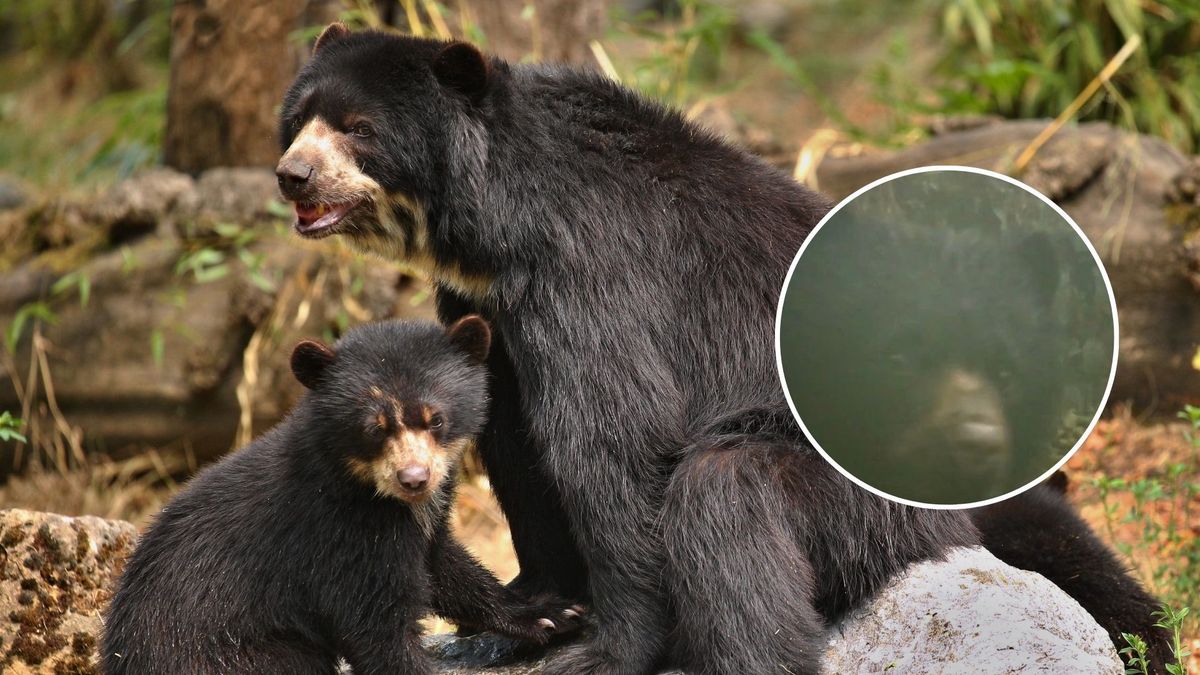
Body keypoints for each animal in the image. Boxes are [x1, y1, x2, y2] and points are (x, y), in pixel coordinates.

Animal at [100, 317, 585, 675]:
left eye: (436, 418)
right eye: (374, 428)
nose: (415, 479)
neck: (376, 496)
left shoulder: (418, 526)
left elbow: (447, 569)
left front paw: (551, 614)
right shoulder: (337, 537)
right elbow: (377, 629)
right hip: (238, 652)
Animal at [274, 24, 1165, 674]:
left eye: (359, 130)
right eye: (298, 119)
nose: (291, 176)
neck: (495, 223)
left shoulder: (592, 271)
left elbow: (614, 438)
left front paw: (608, 648)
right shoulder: (484, 300)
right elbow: (514, 438)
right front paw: (525, 616)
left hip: (855, 486)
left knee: (726, 499)